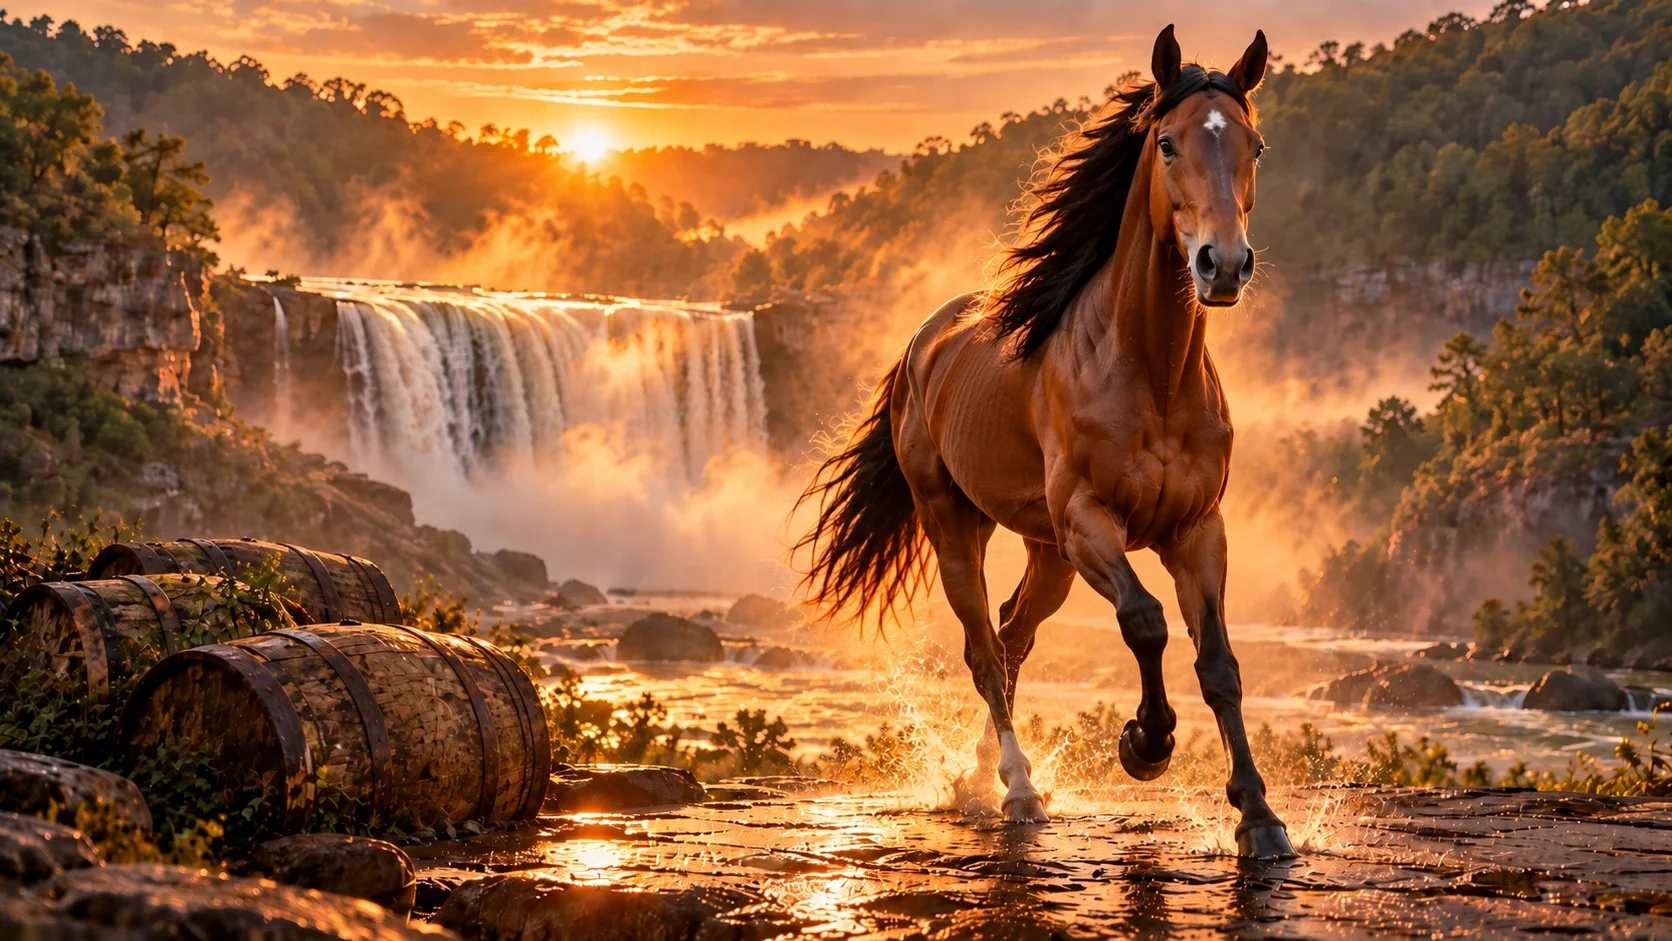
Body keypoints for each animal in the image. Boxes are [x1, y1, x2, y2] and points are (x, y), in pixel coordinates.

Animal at [795, 25, 1294, 858]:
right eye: (1167, 143)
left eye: (1254, 146)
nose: (1222, 264)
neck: (1150, 372)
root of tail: (923, 344)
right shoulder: (1091, 520)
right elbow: (1144, 621)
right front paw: (1145, 743)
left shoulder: (1198, 531)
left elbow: (1219, 664)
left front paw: (1258, 815)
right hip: (959, 527)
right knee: (983, 650)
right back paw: (1019, 787)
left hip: (1048, 552)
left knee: (1011, 636)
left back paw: (985, 774)